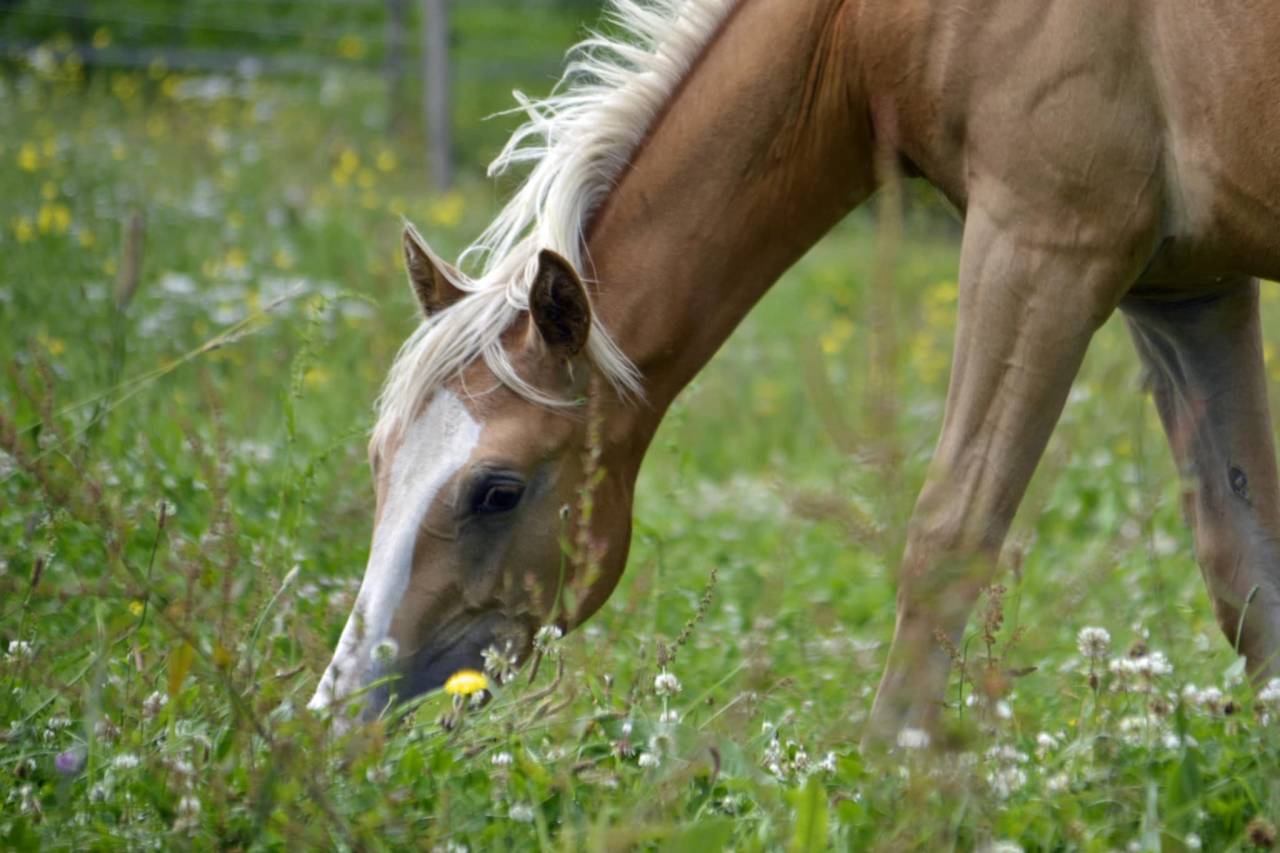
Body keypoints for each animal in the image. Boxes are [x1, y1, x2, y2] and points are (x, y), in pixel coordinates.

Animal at [310, 0, 1280, 742]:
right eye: (380, 462)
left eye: (497, 490)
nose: (338, 706)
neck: (864, 25)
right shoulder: (1184, 289)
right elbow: (1244, 563)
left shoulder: (1045, 247)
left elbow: (948, 533)